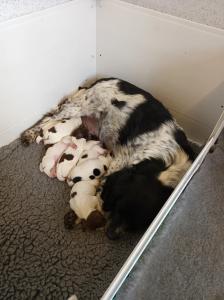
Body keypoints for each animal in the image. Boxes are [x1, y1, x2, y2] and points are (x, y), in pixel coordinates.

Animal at [21, 77, 195, 239]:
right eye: (119, 207)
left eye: (136, 225)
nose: (111, 235)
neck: (166, 162)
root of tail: (106, 79)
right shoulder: (119, 163)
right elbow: (100, 195)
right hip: (77, 108)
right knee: (49, 118)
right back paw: (29, 134)